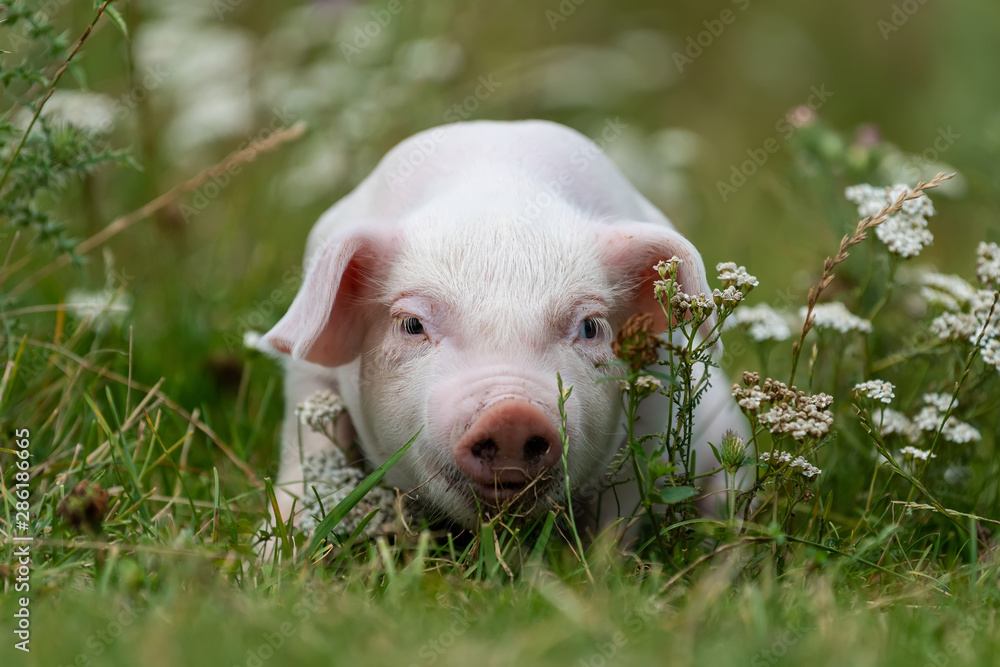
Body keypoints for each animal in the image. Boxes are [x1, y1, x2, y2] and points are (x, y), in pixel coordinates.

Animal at [260, 118, 744, 532]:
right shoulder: (307, 377)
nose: (511, 414)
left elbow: (622, 506)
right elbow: (306, 455)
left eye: (590, 327)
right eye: (412, 324)